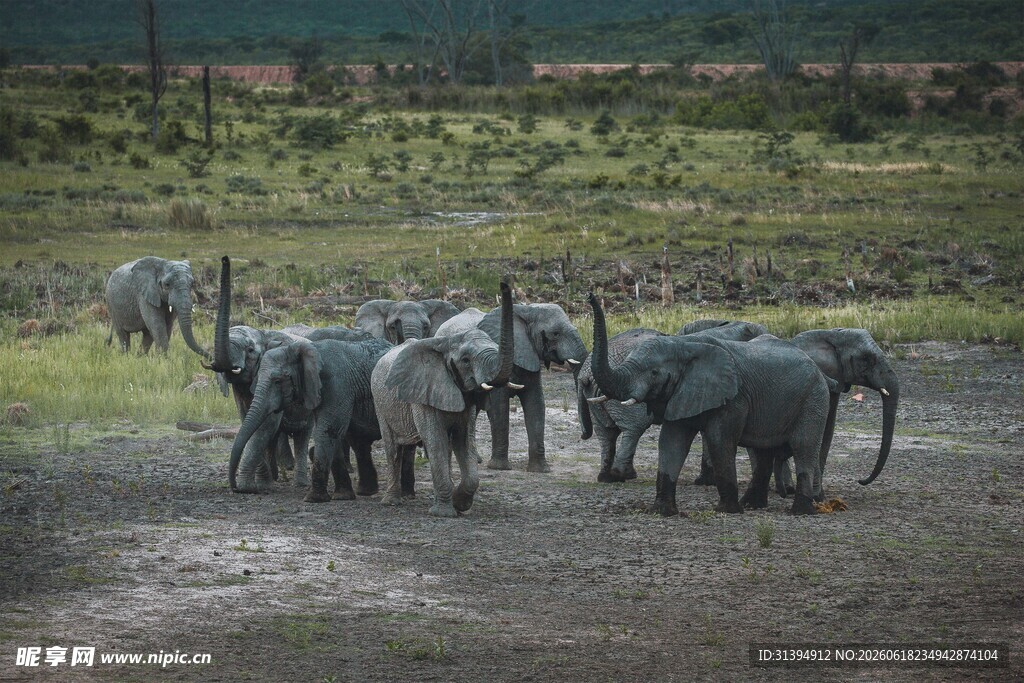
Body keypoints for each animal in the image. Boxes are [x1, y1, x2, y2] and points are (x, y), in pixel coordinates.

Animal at [229, 336, 391, 501]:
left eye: (278, 381)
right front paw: (341, 497)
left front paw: (314, 499)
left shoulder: (338, 384)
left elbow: (328, 429)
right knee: (357, 440)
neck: (308, 349)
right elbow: (331, 431)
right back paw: (366, 492)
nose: (235, 488)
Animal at [371, 281, 515, 517]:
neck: (445, 345)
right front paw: (444, 513)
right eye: (465, 360)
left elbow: (463, 441)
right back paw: (391, 502)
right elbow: (435, 440)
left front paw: (460, 503)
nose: (504, 283)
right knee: (393, 448)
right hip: (380, 400)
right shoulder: (423, 395)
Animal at [475, 301, 588, 472]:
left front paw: (540, 470)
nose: (582, 436)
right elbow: (499, 406)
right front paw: (499, 468)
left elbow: (536, 404)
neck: (527, 310)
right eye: (555, 334)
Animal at [589, 293, 836, 516]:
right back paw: (752, 505)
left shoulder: (734, 398)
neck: (682, 345)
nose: (591, 295)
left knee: (803, 447)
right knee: (763, 452)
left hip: (814, 399)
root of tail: (818, 370)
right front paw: (663, 511)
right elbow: (671, 443)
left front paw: (727, 510)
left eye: (654, 373)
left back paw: (800, 511)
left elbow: (720, 442)